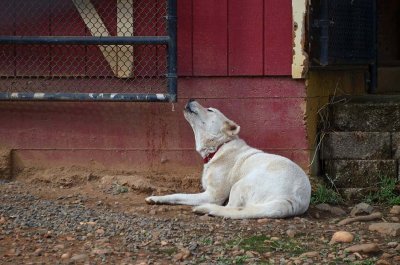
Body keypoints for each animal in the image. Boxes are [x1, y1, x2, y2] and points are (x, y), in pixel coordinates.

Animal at [145, 99, 310, 219]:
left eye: (210, 110)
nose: (191, 99)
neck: (218, 147)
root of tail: (292, 200)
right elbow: (176, 195)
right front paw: (156, 198)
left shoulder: (212, 195)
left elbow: (181, 195)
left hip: (239, 185)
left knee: (231, 208)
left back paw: (206, 210)